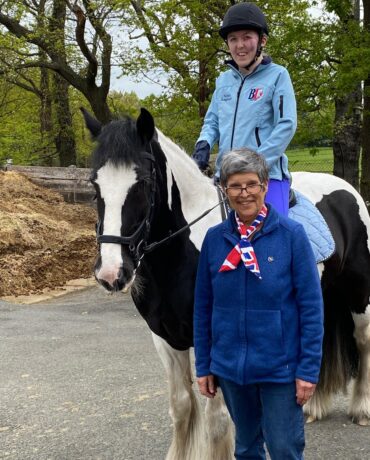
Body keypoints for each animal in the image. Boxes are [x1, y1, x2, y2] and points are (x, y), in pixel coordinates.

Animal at [84, 108, 370, 460]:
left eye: (143, 183)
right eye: (94, 184)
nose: (112, 273)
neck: (184, 250)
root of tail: (346, 189)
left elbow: (217, 419)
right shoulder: (164, 338)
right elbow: (181, 407)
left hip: (359, 294)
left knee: (363, 341)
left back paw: (361, 408)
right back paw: (313, 406)